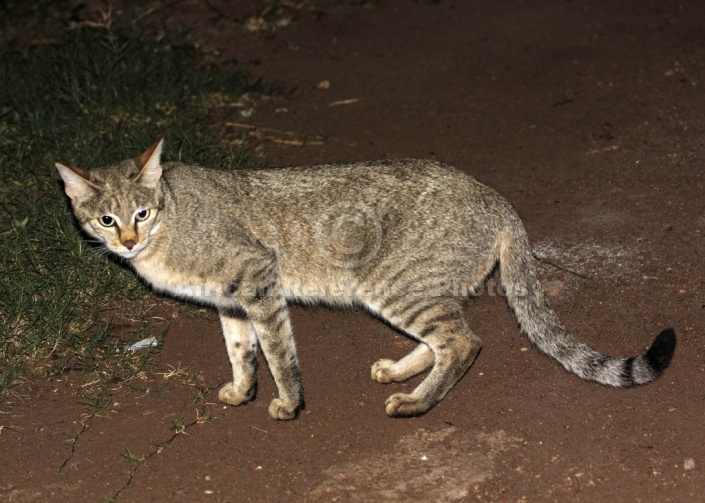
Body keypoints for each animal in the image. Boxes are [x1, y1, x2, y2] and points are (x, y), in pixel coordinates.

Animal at [56, 140, 676, 420]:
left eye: (141, 213)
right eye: (105, 219)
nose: (126, 242)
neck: (170, 227)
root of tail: (497, 199)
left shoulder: (257, 278)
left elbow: (278, 352)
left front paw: (288, 401)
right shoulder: (230, 301)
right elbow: (240, 350)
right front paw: (241, 389)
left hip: (392, 283)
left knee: (464, 341)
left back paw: (417, 402)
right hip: (408, 289)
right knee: (446, 338)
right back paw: (401, 371)